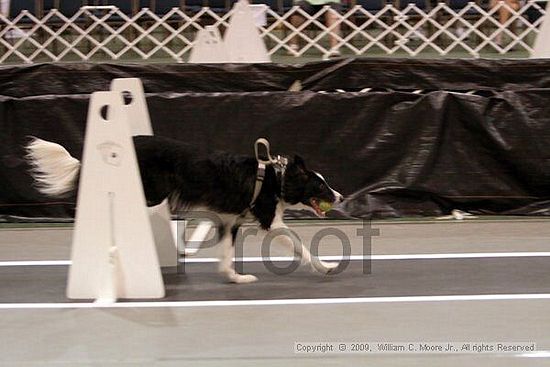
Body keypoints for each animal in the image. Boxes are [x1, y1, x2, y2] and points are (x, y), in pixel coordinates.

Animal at [28, 137, 344, 284]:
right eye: (320, 186)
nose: (340, 197)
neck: (276, 178)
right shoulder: (270, 221)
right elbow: (301, 246)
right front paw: (326, 266)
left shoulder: (228, 221)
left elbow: (224, 254)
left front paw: (234, 277)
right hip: (149, 193)